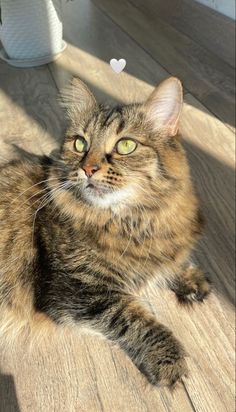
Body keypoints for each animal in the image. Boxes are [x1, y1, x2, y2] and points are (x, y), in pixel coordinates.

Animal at [0, 76, 210, 386]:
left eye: (125, 146)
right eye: (80, 143)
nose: (88, 168)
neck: (132, 221)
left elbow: (172, 264)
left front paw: (191, 279)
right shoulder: (80, 292)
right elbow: (136, 319)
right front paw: (170, 361)